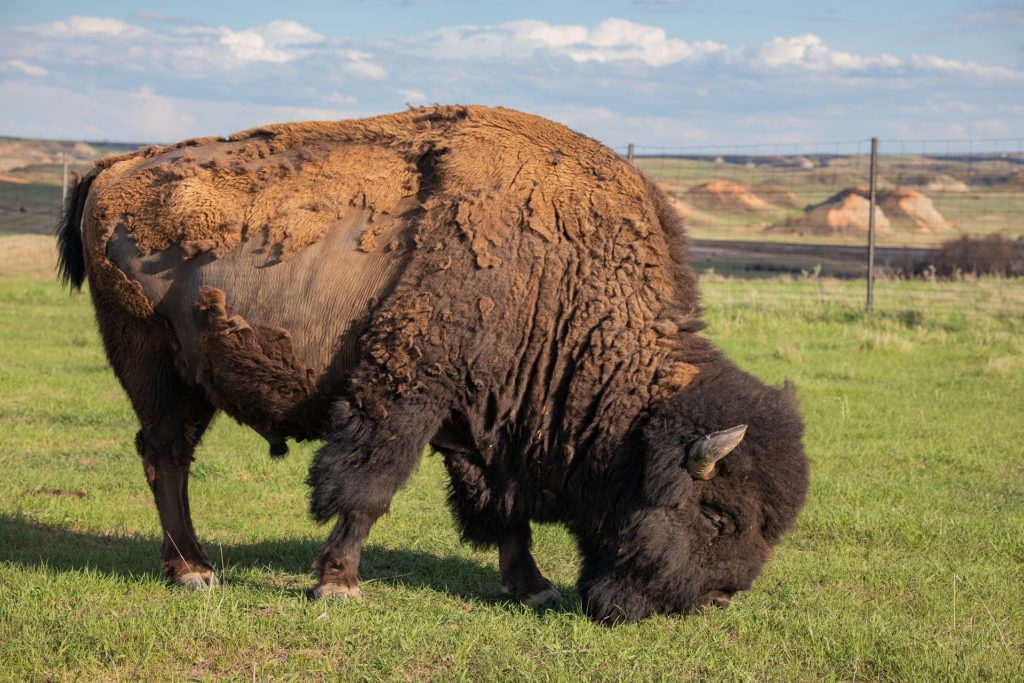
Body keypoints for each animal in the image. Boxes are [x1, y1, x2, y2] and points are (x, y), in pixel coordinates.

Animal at [58, 104, 806, 622]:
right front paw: (338, 584)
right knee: (166, 458)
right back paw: (193, 569)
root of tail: (111, 170)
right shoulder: (403, 395)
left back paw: (190, 565)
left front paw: (533, 586)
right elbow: (368, 488)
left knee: (166, 456)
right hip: (154, 369)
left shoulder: (483, 420)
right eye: (718, 517)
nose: (718, 599)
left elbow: (500, 506)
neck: (558, 278)